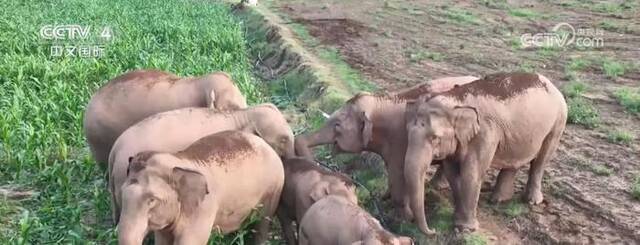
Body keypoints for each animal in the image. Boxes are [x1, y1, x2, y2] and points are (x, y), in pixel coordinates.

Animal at [115, 131, 284, 245]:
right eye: (122, 193)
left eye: (152, 200)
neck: (179, 160)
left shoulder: (202, 209)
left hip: (274, 189)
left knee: (263, 223)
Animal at [292, 75, 478, 226]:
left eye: (337, 125)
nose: (317, 164)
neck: (382, 101)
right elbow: (393, 176)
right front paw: (384, 198)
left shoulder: (401, 141)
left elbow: (399, 176)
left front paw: (406, 218)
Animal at [404, 72, 564, 233]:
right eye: (408, 132)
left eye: (435, 137)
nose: (433, 230)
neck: (457, 100)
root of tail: (552, 84)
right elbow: (452, 173)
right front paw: (457, 221)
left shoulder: (485, 134)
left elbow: (471, 173)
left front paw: (466, 229)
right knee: (514, 162)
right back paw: (498, 200)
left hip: (557, 123)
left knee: (541, 160)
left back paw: (531, 201)